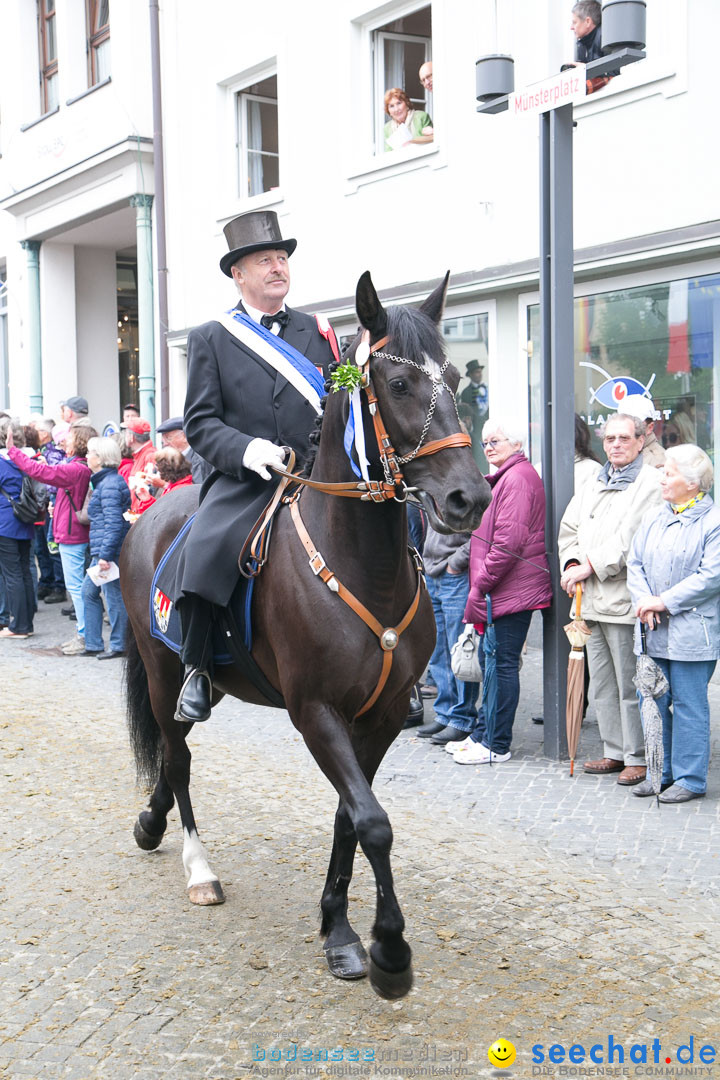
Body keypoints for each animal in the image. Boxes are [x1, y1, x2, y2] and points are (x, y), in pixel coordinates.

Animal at [124, 270, 492, 993]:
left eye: (453, 377)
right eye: (399, 383)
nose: (471, 498)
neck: (364, 564)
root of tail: (150, 510)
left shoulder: (380, 715)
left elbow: (350, 818)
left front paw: (338, 927)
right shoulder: (315, 710)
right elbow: (373, 822)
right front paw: (386, 950)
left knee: (176, 755)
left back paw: (150, 824)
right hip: (160, 669)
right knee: (178, 760)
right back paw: (197, 867)